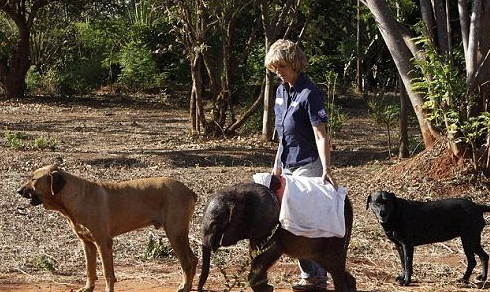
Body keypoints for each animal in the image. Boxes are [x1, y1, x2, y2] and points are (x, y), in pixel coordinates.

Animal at [17, 165, 197, 290]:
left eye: (34, 179)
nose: (19, 190)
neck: (75, 197)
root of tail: (189, 190)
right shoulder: (87, 244)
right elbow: (90, 270)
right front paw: (87, 288)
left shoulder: (103, 242)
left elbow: (108, 273)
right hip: (180, 234)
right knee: (194, 259)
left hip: (175, 233)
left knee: (186, 262)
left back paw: (185, 287)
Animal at [199, 181, 356, 290]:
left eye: (214, 225)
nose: (201, 289)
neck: (235, 194)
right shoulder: (256, 226)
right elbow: (255, 252)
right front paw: (267, 288)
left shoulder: (269, 222)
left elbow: (270, 252)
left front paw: (267, 288)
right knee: (330, 263)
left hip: (337, 233)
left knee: (334, 264)